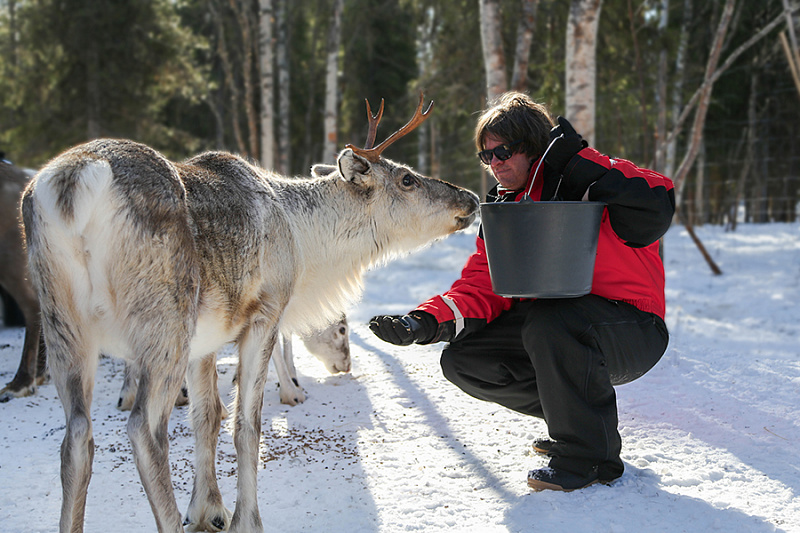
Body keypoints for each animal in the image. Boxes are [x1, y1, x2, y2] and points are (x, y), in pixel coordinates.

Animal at [21, 94, 478, 533]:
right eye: (407, 179)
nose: (471, 197)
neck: (303, 240)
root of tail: (75, 182)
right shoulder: (265, 315)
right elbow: (246, 424)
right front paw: (245, 520)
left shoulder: (205, 341)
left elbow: (207, 417)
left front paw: (207, 511)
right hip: (164, 324)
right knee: (144, 429)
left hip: (64, 325)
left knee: (77, 435)